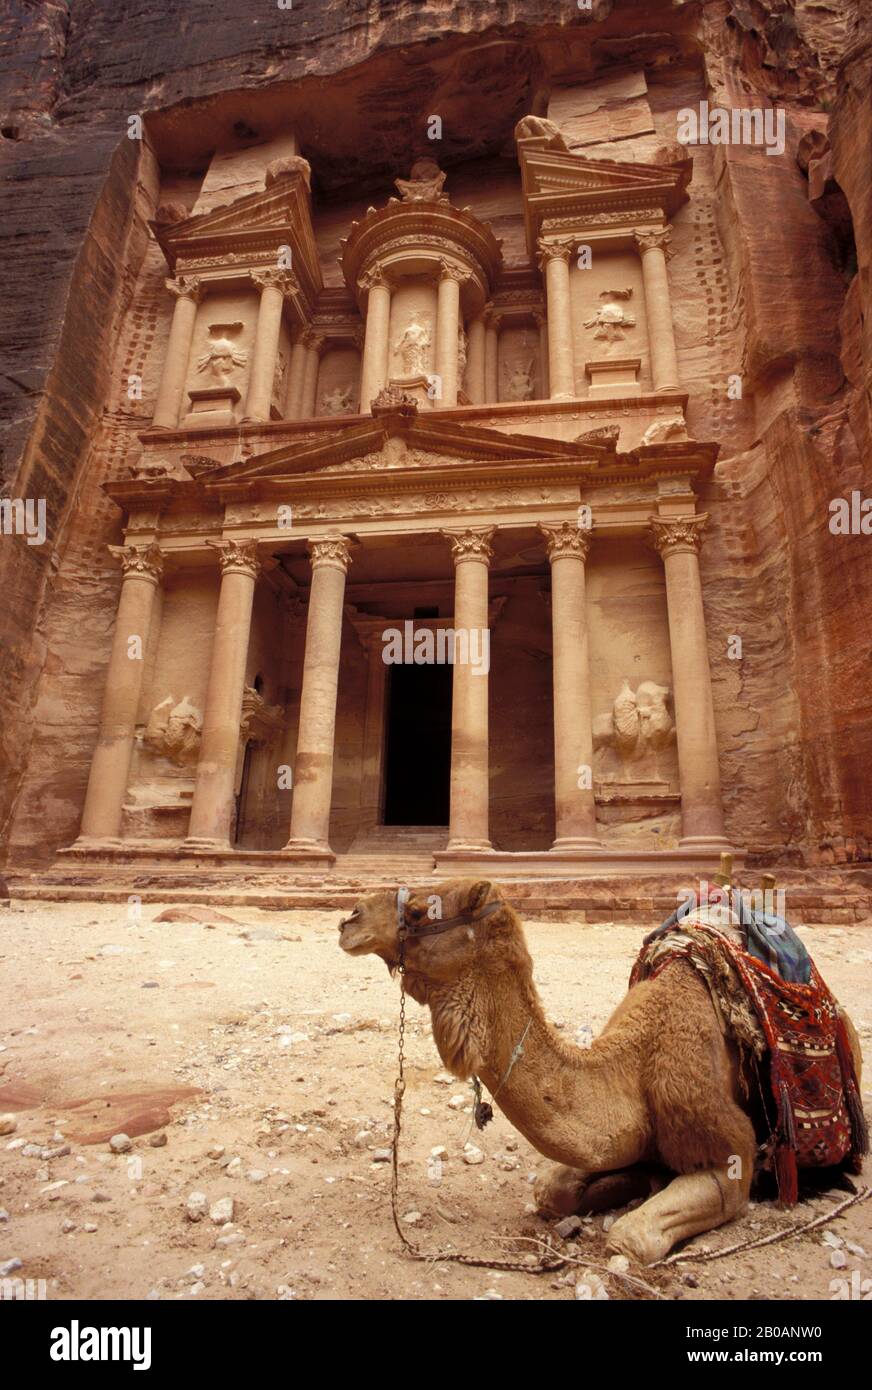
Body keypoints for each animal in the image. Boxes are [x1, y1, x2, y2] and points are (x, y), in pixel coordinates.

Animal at [337, 884, 862, 1267]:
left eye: (420, 911)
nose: (348, 920)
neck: (630, 1067)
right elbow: (553, 1190)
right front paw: (628, 1184)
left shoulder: (729, 1152)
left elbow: (630, 1238)